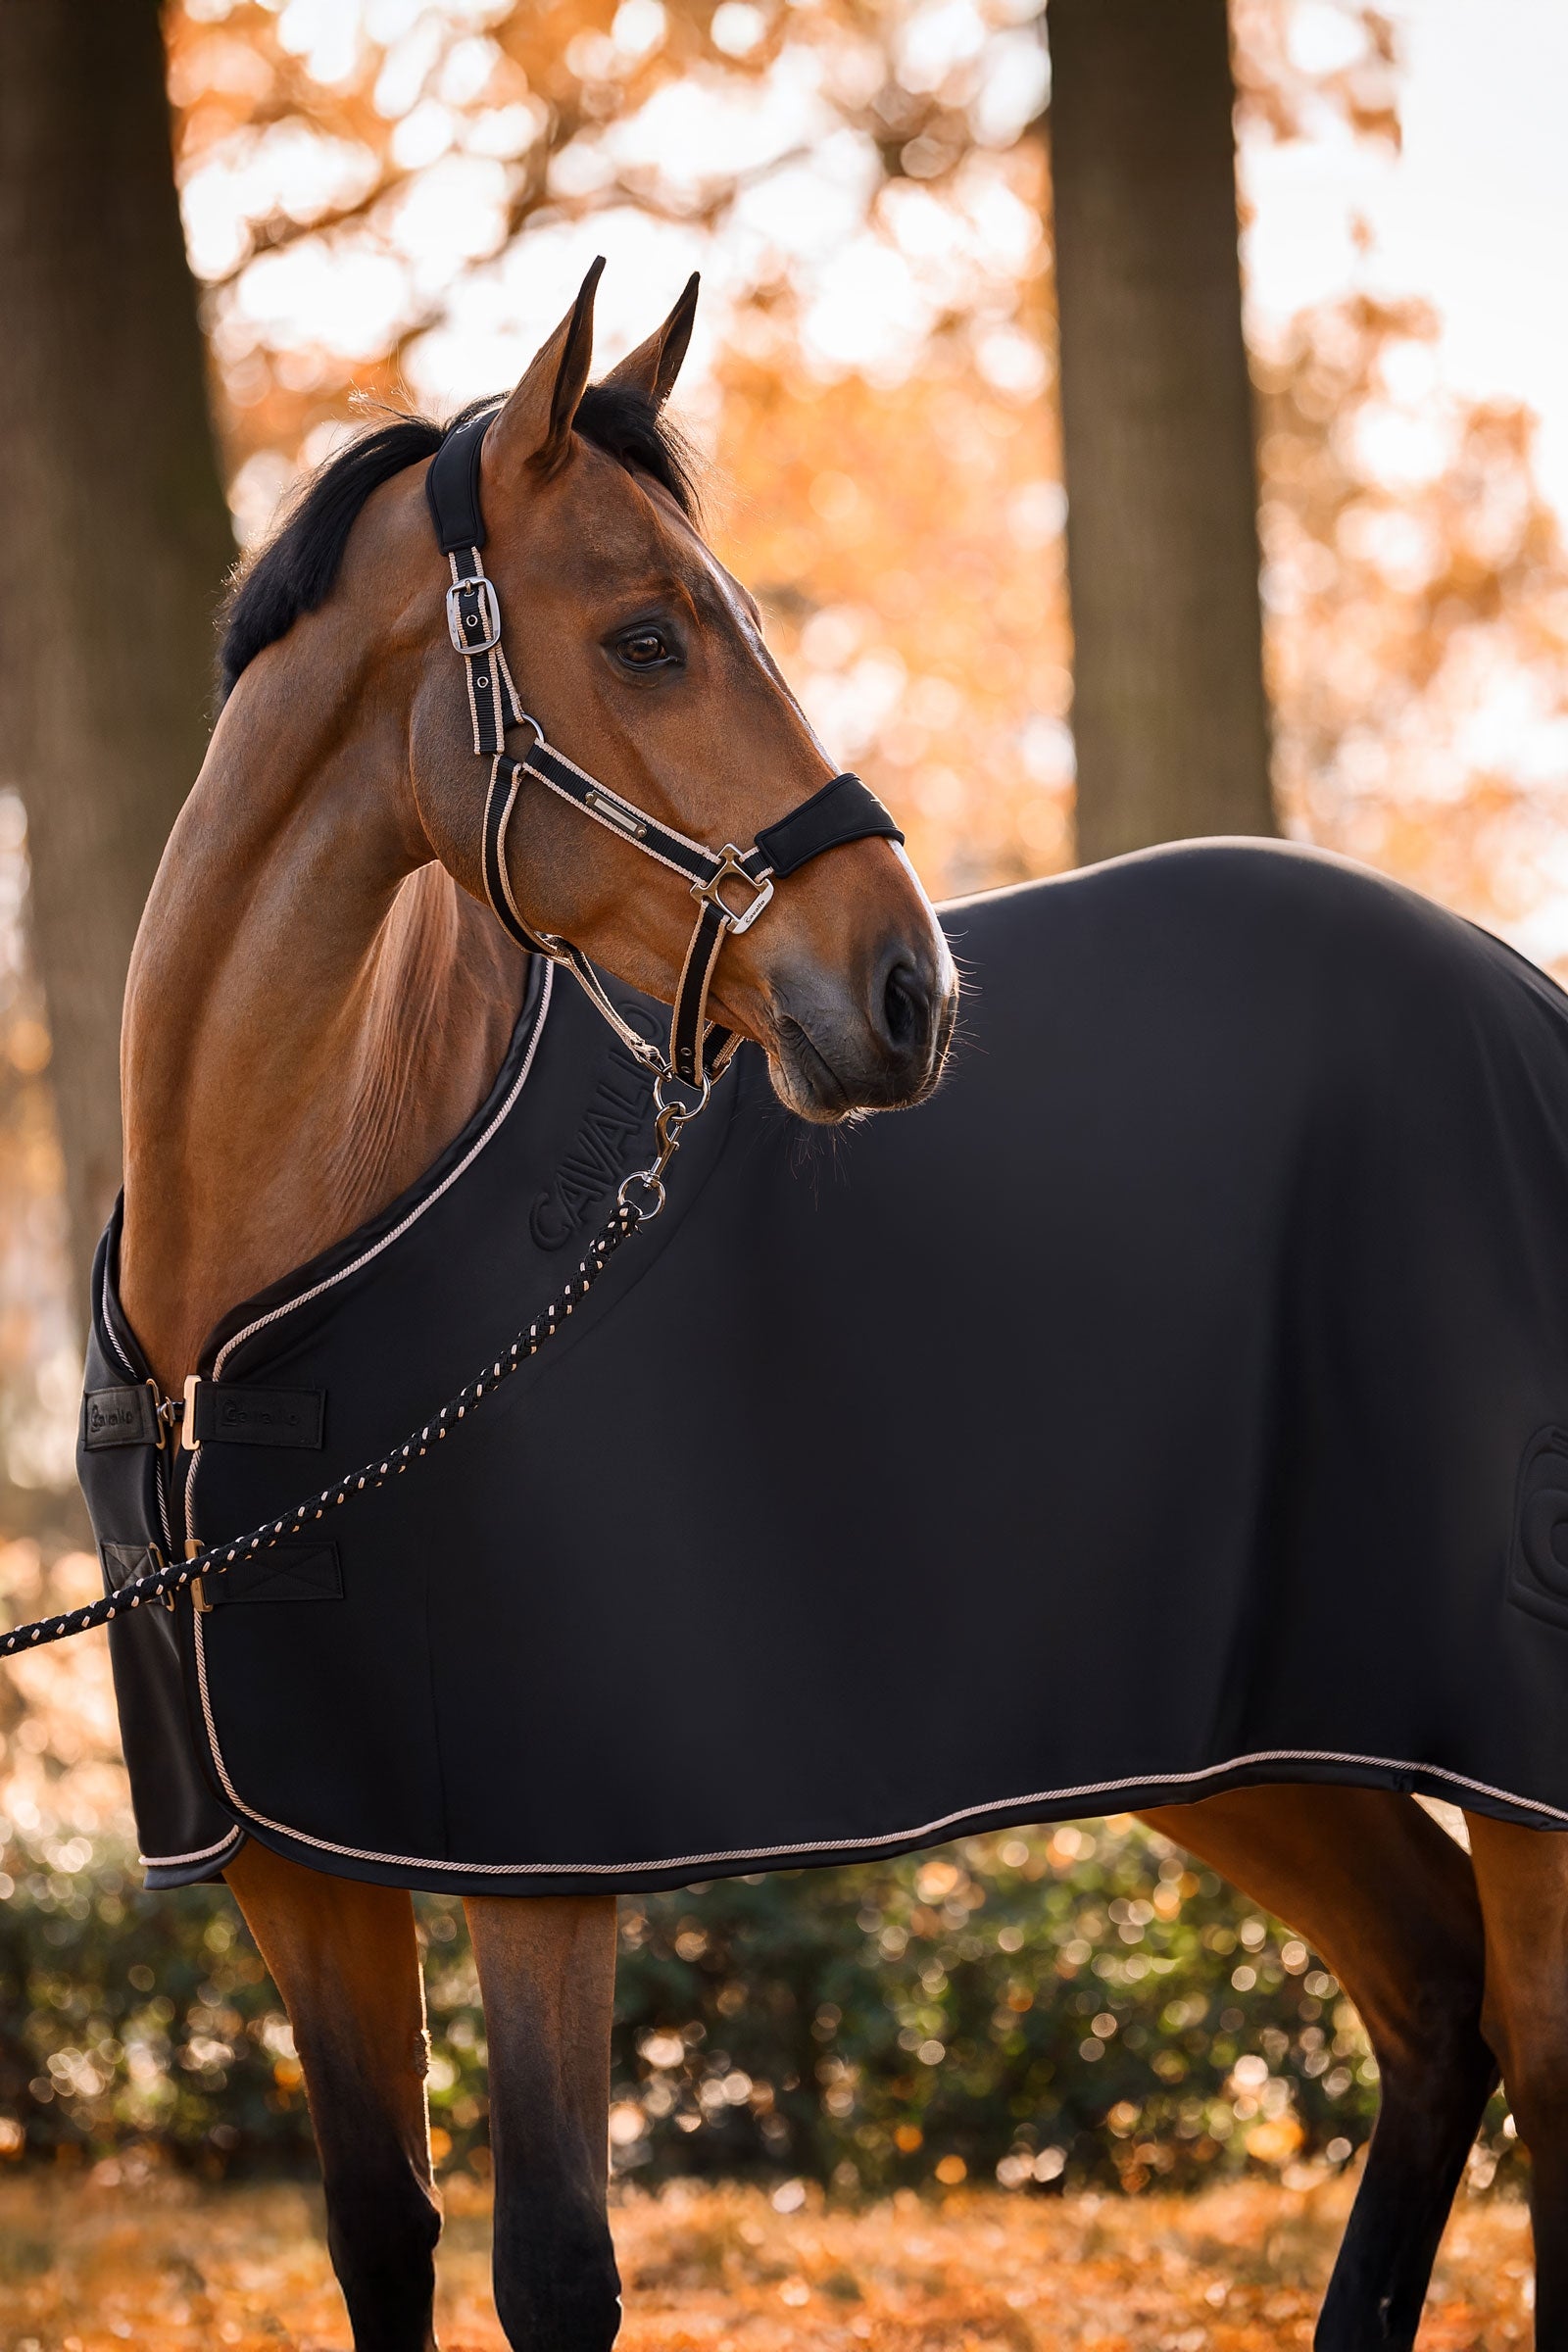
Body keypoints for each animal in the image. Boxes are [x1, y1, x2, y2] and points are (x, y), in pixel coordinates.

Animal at [103, 262, 1565, 2352]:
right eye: (644, 636)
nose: (906, 992)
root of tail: (1514, 998)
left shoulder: (539, 1859)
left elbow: (553, 2269)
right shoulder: (299, 1869)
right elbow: (380, 2231)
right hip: (1248, 1738)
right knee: (1439, 1995)